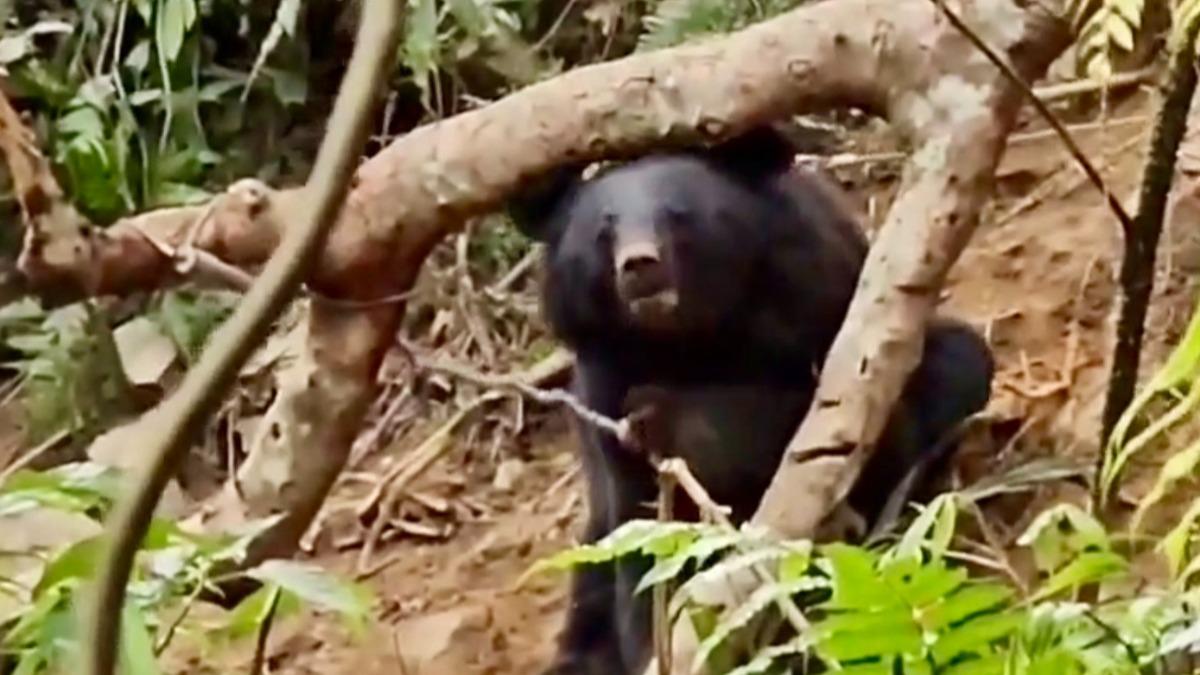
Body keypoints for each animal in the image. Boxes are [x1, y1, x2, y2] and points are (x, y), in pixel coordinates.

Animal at [508, 125, 994, 675]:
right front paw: (653, 643)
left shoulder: (810, 307)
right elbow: (639, 536)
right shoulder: (604, 385)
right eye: (603, 229)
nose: (640, 267)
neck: (687, 338)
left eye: (676, 214)